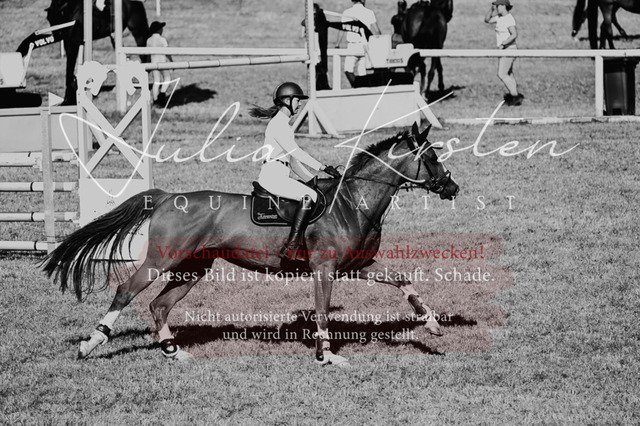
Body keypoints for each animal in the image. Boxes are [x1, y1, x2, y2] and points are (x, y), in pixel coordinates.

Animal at [42, 123, 459, 366]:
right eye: (431, 157)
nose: (452, 187)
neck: (352, 202)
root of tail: (168, 197)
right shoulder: (324, 270)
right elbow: (322, 312)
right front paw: (326, 356)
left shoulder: (358, 266)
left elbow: (403, 280)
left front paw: (432, 325)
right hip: (163, 259)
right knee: (126, 291)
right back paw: (90, 344)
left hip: (192, 268)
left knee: (158, 305)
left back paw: (173, 350)